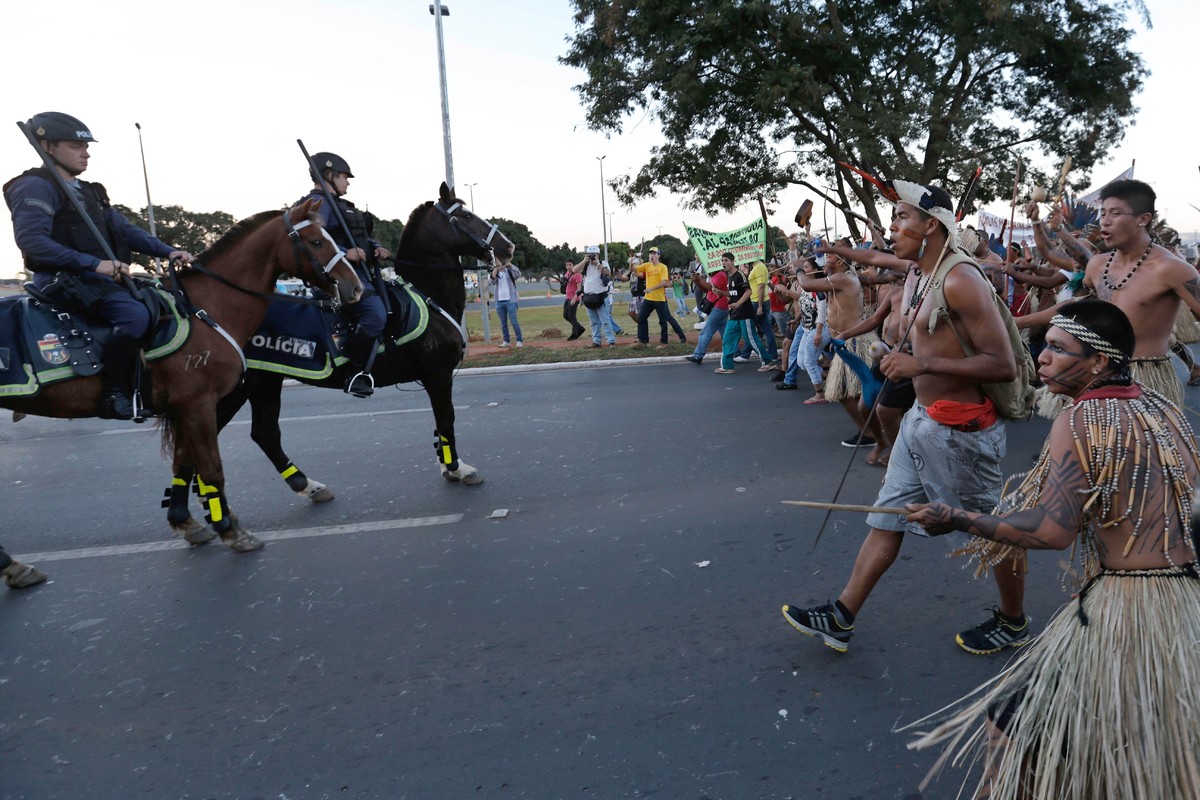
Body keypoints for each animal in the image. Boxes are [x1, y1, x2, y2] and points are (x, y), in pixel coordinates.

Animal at [2, 197, 362, 554]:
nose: (355, 288)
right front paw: (229, 528)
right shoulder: (198, 405)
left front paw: (187, 521)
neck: (207, 309)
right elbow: (212, 469)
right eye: (316, 242)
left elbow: (183, 463)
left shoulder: (186, 408)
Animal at [199, 181, 508, 513]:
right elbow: (446, 419)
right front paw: (457, 468)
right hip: (243, 387)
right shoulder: (437, 374)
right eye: (465, 215)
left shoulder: (434, 377)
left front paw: (446, 465)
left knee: (261, 434)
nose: (508, 247)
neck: (427, 294)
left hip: (264, 382)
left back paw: (304, 487)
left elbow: (440, 425)